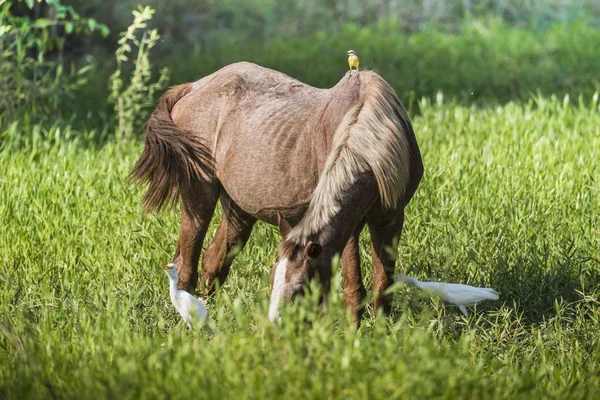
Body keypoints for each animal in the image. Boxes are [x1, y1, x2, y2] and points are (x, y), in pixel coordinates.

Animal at [131, 61, 422, 324]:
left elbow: (382, 288)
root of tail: (193, 87)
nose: (276, 324)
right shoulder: (351, 228)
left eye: (300, 289)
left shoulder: (390, 219)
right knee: (186, 266)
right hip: (199, 195)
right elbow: (355, 291)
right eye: (272, 279)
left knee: (213, 259)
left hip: (238, 209)